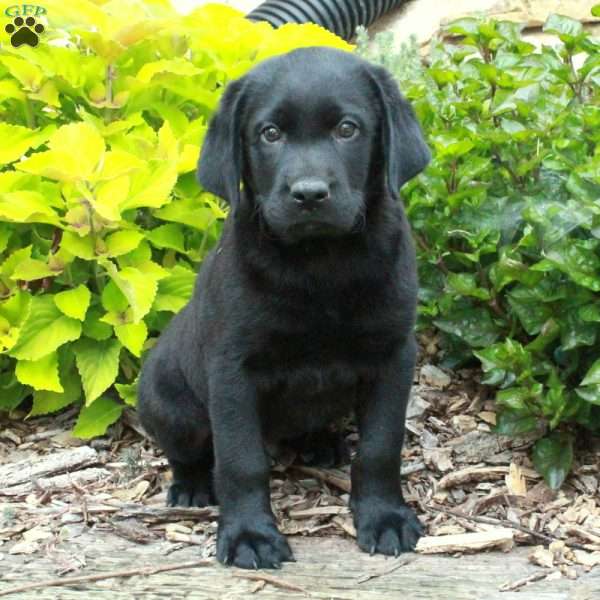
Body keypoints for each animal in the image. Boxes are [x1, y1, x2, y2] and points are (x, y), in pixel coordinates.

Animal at [138, 45, 428, 568]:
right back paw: (192, 487)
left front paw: (384, 517)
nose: (309, 194)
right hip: (168, 404)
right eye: (269, 133)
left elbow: (381, 446)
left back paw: (322, 444)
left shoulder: (394, 354)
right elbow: (241, 460)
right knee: (189, 451)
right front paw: (249, 535)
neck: (321, 263)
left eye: (347, 129)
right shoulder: (232, 370)